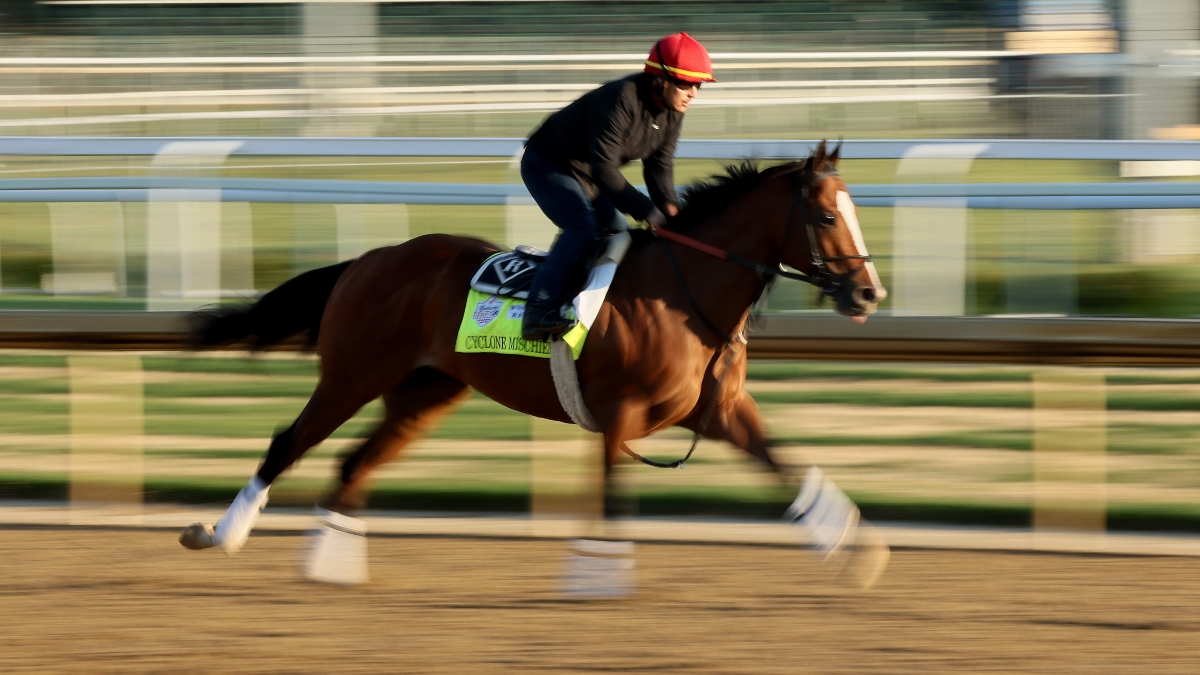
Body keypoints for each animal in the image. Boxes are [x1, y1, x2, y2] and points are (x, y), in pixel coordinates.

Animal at [180, 141, 892, 583]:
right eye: (827, 216)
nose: (867, 294)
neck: (683, 293)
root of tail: (368, 259)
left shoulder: (718, 410)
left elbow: (786, 464)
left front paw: (855, 546)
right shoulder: (620, 415)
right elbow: (611, 497)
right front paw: (598, 575)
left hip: (424, 394)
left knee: (353, 464)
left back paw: (328, 565)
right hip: (353, 374)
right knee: (289, 442)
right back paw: (221, 534)